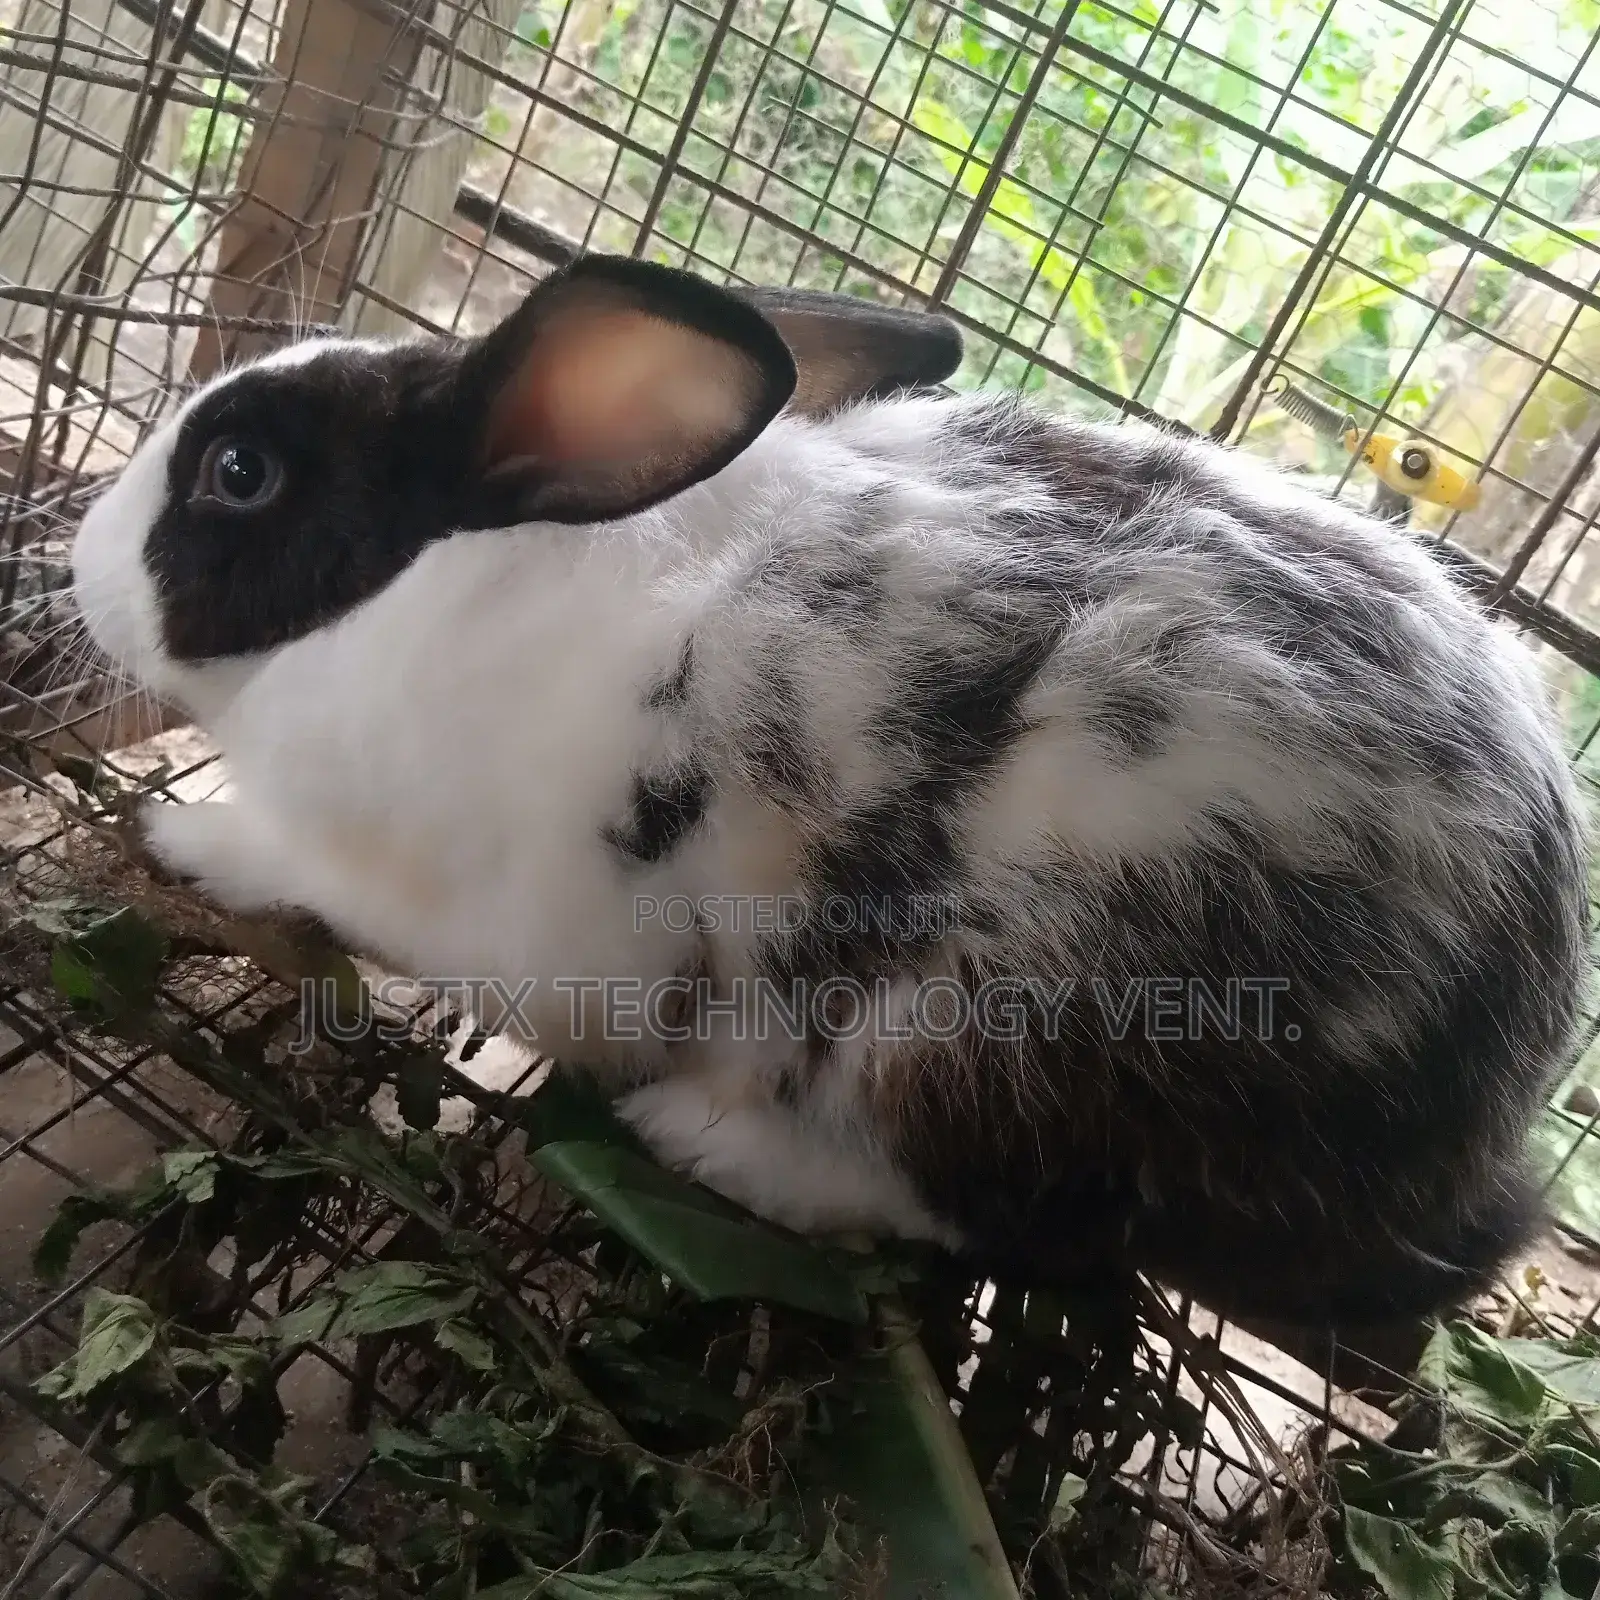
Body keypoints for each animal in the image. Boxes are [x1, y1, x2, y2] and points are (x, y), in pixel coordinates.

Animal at [71, 254, 1591, 1327]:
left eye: (240, 472)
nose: (82, 560)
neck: (457, 584)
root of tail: (1464, 1133)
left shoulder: (518, 923)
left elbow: (325, 881)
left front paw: (186, 833)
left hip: (988, 1037)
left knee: (988, 1214)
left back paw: (711, 1145)